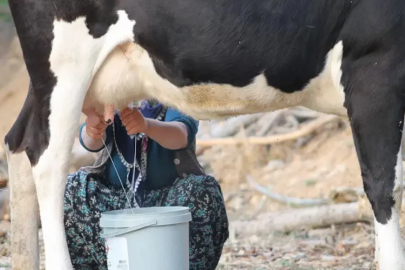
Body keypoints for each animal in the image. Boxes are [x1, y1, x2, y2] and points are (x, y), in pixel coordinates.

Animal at [3, 0, 404, 268]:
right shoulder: (376, 65)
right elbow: (383, 184)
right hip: (65, 62)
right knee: (47, 160)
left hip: (49, 79)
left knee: (19, 142)